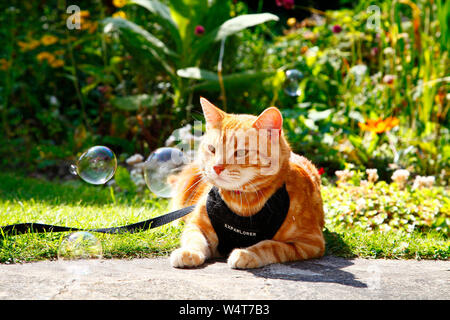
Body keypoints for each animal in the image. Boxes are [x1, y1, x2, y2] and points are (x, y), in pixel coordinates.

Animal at [169, 98, 324, 270]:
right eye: (212, 149)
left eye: (241, 153)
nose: (217, 167)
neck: (241, 202)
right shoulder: (197, 225)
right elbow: (194, 239)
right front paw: (188, 252)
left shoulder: (310, 241)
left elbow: (271, 245)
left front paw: (247, 254)